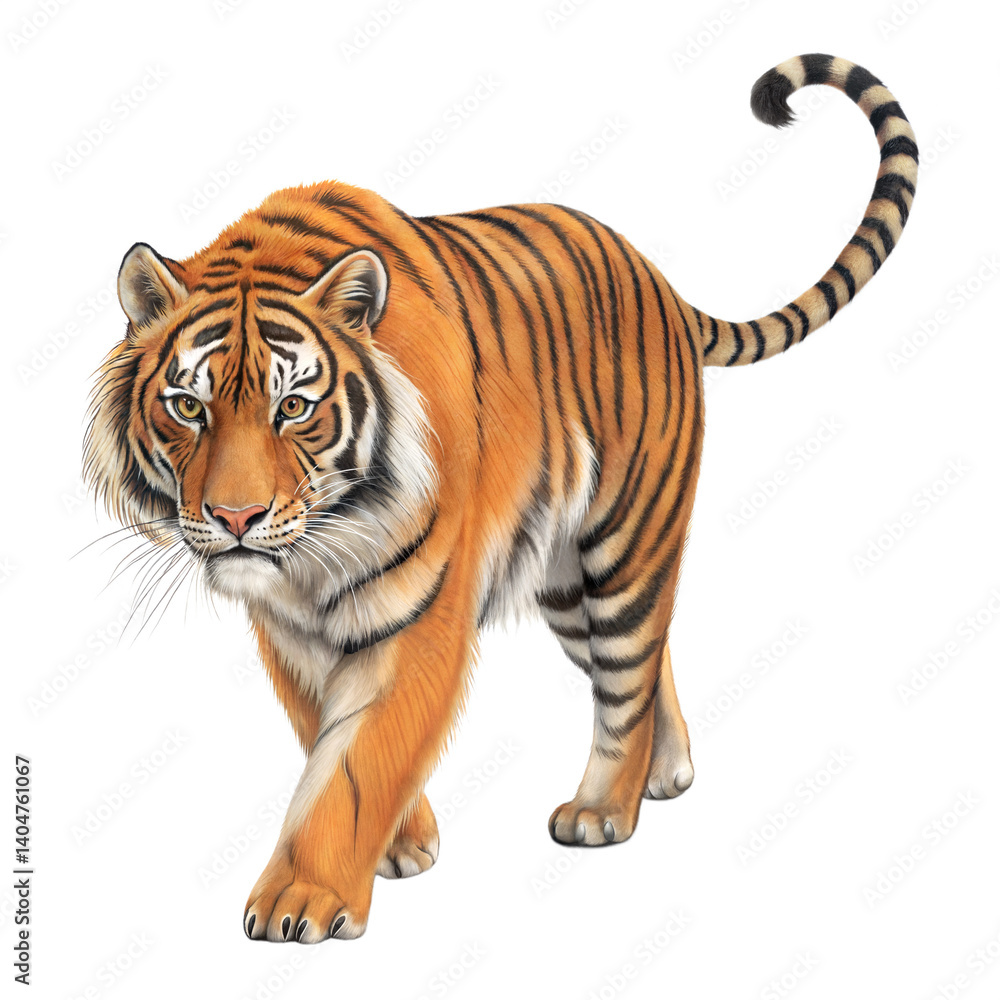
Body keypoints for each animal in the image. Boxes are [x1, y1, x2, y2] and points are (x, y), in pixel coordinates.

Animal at [84, 54, 916, 942]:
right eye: (187, 407)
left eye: (294, 408)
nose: (234, 519)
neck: (314, 559)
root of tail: (658, 278)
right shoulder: (290, 632)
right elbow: (329, 742)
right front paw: (401, 845)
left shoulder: (420, 617)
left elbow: (359, 763)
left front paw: (302, 898)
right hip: (563, 580)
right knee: (649, 658)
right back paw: (671, 771)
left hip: (623, 545)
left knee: (628, 673)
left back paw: (603, 810)